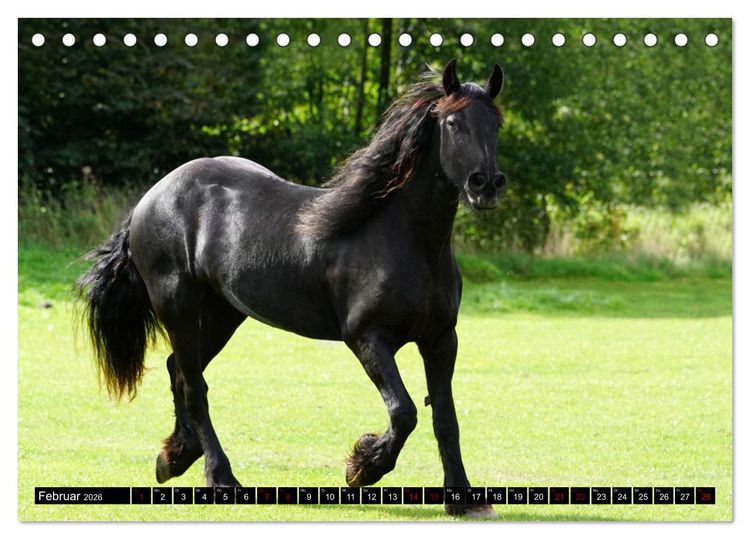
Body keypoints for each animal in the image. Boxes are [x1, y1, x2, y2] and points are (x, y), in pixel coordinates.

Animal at [77, 59, 507, 518]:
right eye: (452, 123)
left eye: (496, 124)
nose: (486, 184)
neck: (405, 240)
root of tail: (152, 197)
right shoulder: (368, 338)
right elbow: (404, 411)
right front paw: (362, 467)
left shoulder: (441, 339)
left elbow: (445, 416)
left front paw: (464, 498)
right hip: (178, 307)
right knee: (194, 386)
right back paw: (221, 478)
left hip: (222, 314)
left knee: (180, 370)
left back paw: (174, 457)